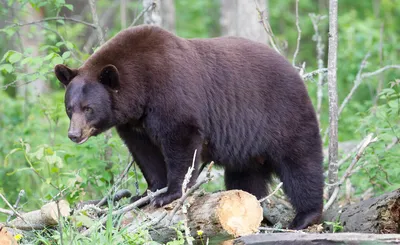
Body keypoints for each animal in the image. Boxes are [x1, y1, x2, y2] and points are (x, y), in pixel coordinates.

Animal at [54, 24, 324, 230]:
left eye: (88, 108)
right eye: (69, 107)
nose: (73, 134)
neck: (141, 89)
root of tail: (294, 72)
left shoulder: (172, 92)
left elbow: (181, 141)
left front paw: (170, 193)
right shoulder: (135, 124)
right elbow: (146, 153)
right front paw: (149, 193)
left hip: (282, 115)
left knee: (301, 164)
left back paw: (304, 217)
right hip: (247, 149)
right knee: (246, 178)